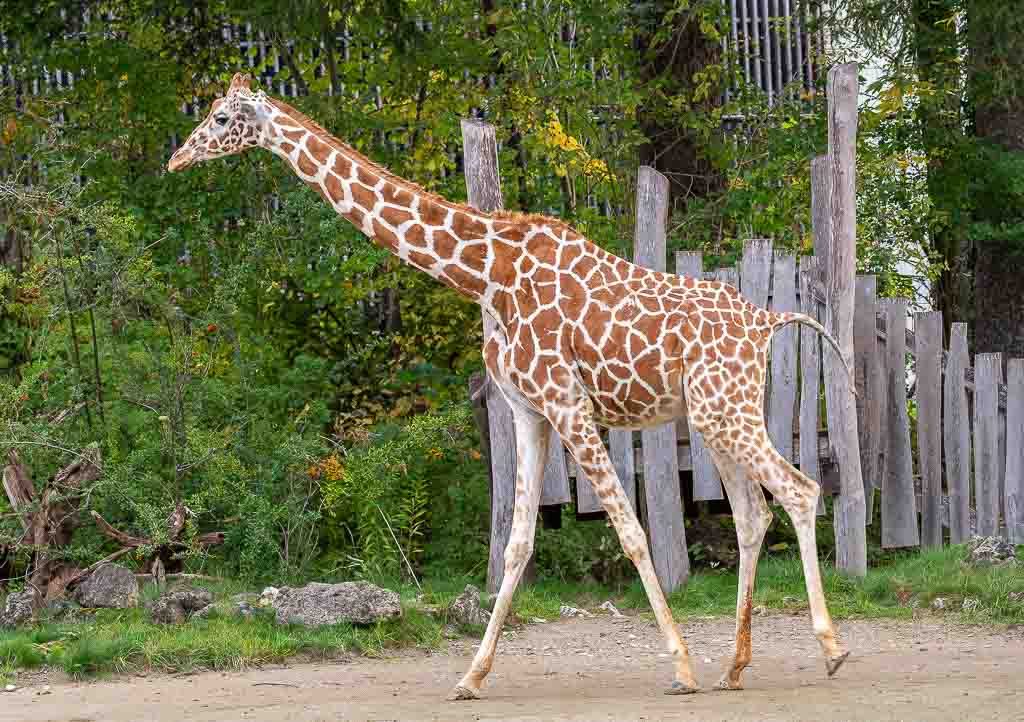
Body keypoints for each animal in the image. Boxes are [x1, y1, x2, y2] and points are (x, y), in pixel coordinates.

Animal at [168, 73, 853, 698]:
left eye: (224, 116)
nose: (177, 157)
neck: (485, 274)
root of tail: (767, 322)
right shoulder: (528, 410)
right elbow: (518, 543)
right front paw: (471, 676)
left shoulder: (566, 401)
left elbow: (631, 530)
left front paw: (681, 667)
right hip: (715, 415)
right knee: (752, 514)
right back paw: (735, 666)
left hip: (726, 409)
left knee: (800, 490)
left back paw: (829, 650)